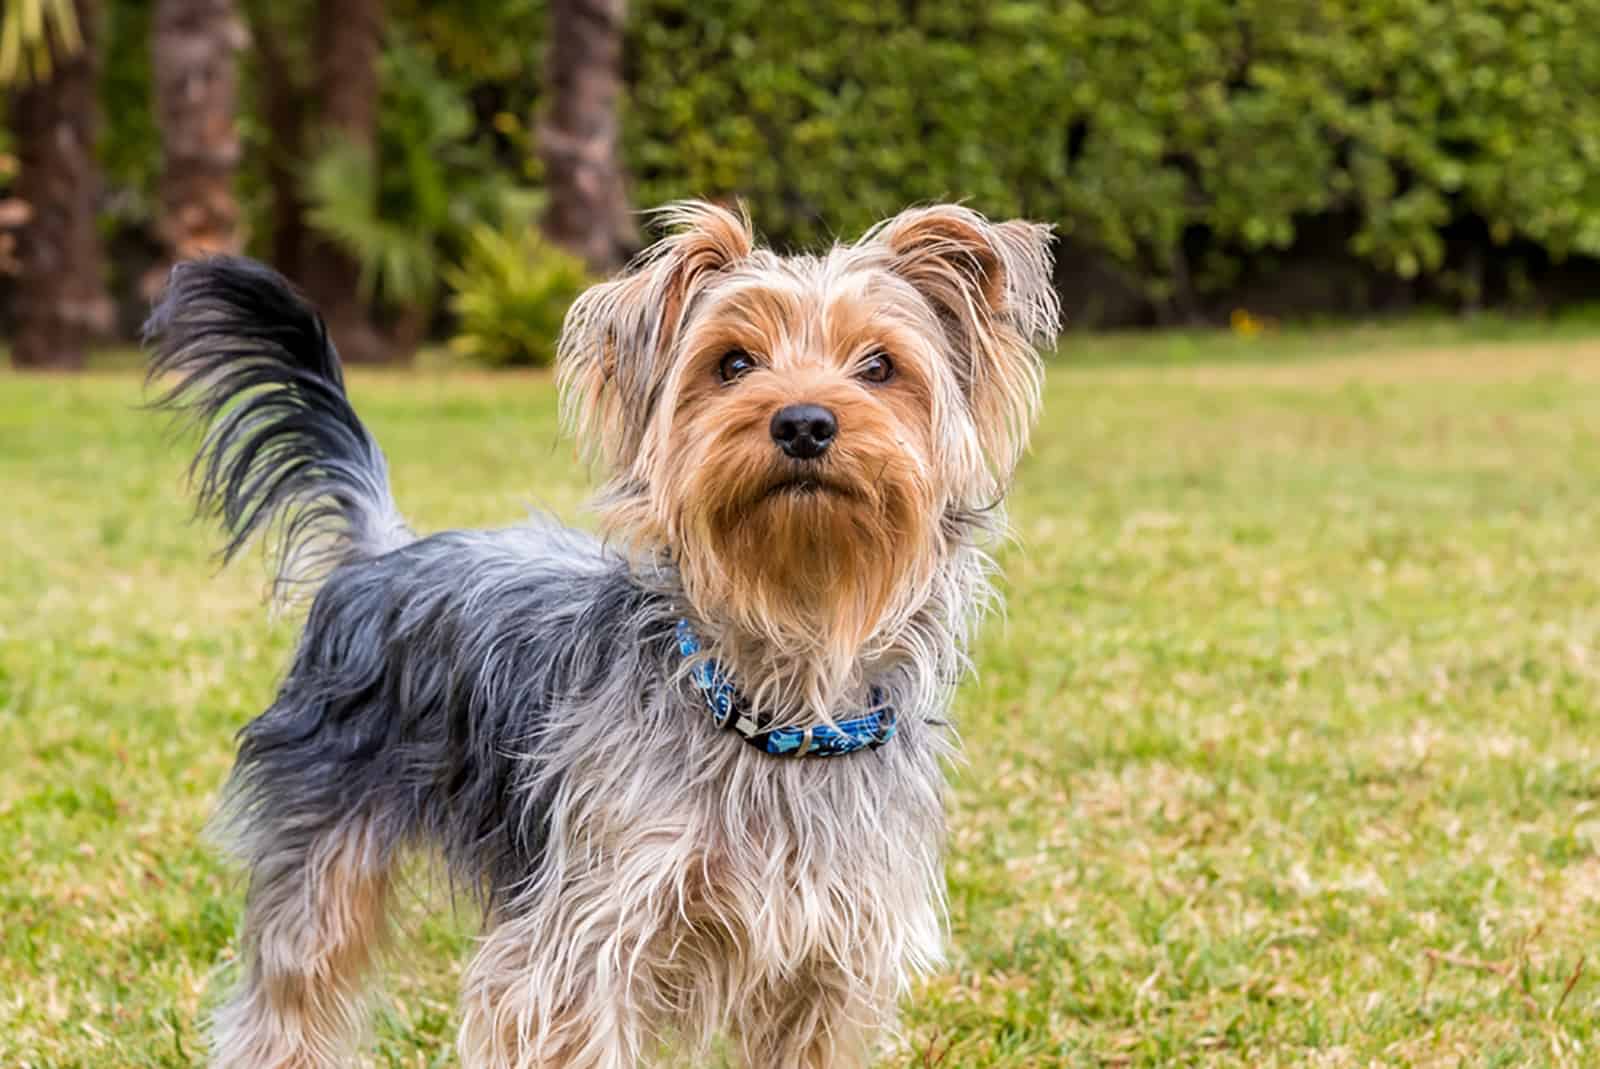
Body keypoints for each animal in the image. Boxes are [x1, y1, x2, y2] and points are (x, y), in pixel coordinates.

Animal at [144, 202, 1056, 1069]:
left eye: (879, 366)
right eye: (733, 363)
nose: (803, 422)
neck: (778, 703)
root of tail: (382, 550)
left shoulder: (827, 961)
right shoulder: (586, 938)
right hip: (320, 848)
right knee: (288, 998)